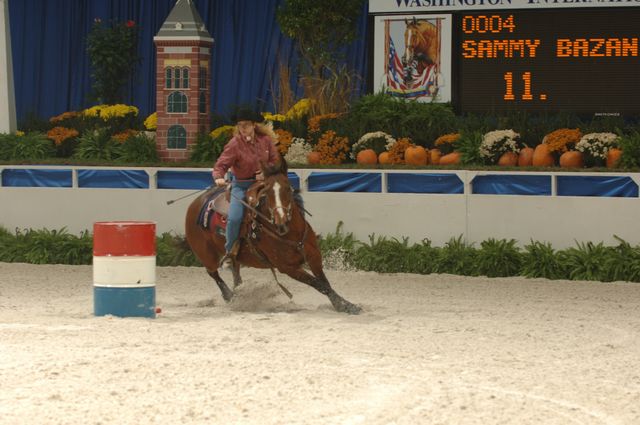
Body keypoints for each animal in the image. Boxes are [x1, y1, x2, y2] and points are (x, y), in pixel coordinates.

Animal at [186, 161, 360, 314]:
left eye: (289, 188)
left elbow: (325, 283)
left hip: (236, 257)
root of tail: (197, 202)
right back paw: (230, 297)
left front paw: (345, 305)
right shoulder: (288, 268)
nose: (280, 221)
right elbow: (320, 285)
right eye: (267, 192)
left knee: (236, 274)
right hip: (205, 254)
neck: (291, 235)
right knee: (214, 274)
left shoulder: (314, 257)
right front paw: (346, 306)